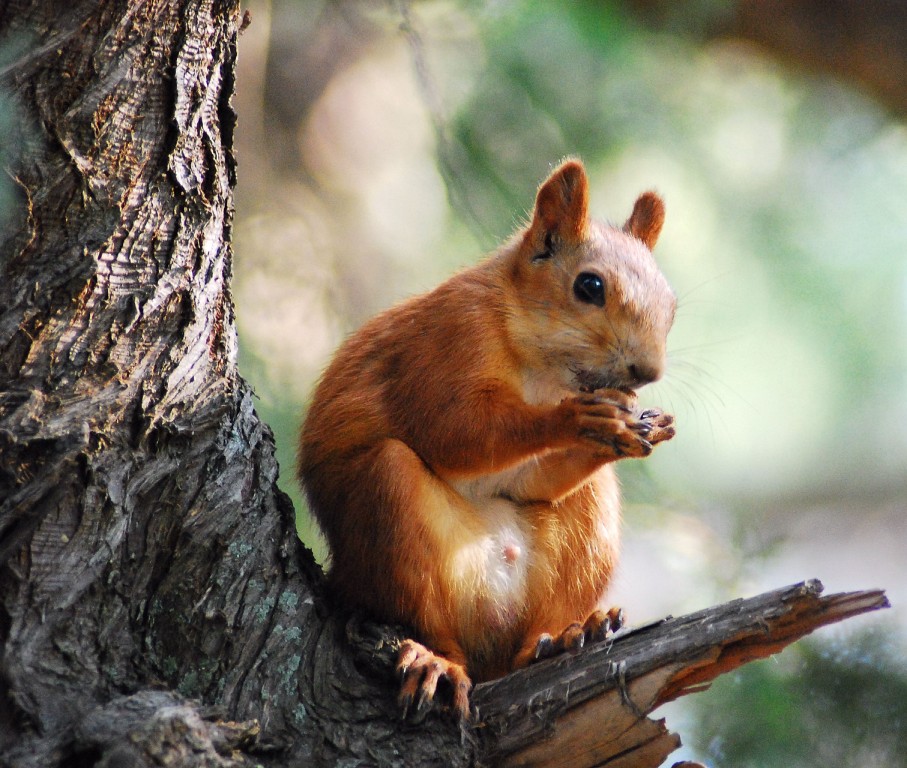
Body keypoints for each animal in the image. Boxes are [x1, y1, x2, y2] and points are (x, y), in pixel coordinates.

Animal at [298, 160, 672, 720]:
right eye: (589, 286)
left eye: (670, 303)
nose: (647, 372)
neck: (543, 366)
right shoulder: (446, 340)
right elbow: (454, 432)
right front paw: (573, 419)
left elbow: (535, 480)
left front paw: (638, 428)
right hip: (386, 517)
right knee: (425, 617)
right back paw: (437, 660)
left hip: (583, 538)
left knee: (526, 640)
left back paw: (561, 639)